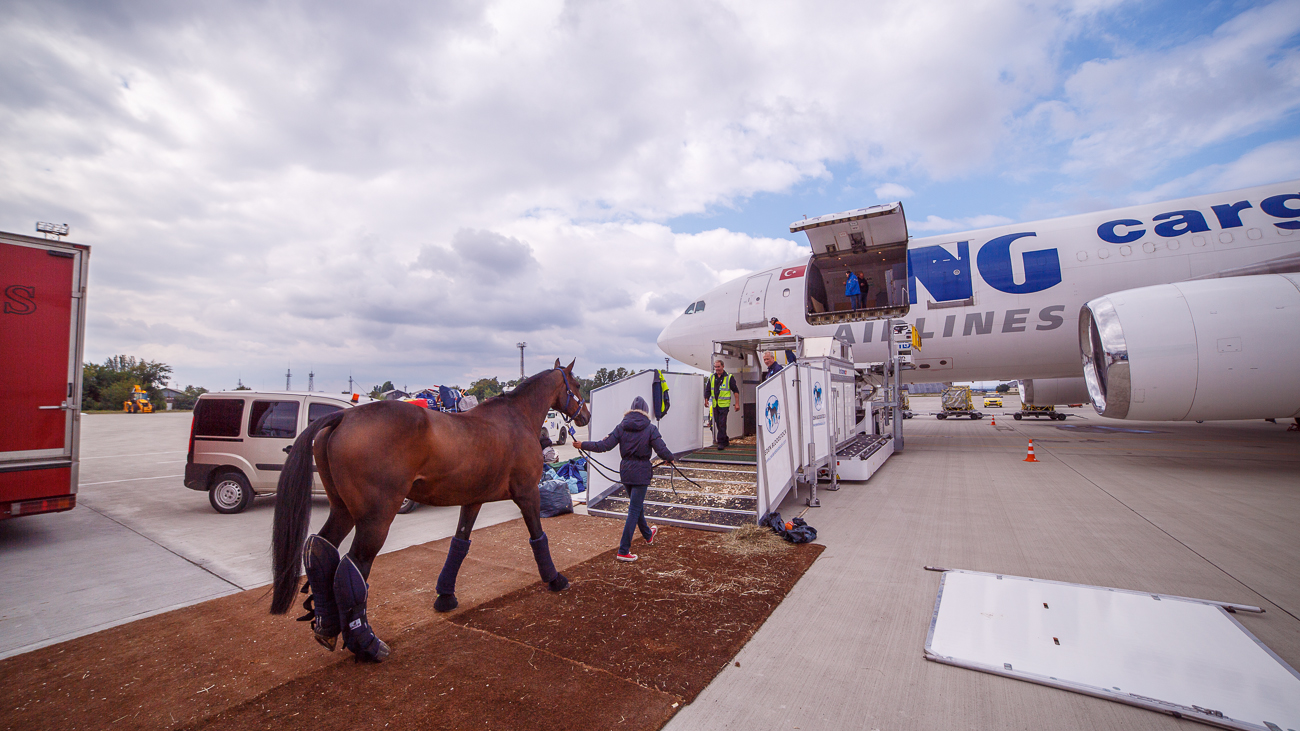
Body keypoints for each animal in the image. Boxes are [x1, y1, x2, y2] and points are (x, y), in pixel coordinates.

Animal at [271, 356, 592, 660]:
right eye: (576, 385)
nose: (586, 415)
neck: (516, 417)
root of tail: (343, 416)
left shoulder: (473, 500)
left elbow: (459, 544)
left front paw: (445, 596)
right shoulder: (527, 494)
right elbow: (537, 536)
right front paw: (555, 578)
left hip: (343, 511)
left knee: (320, 549)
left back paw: (326, 628)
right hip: (375, 519)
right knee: (354, 566)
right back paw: (368, 645)